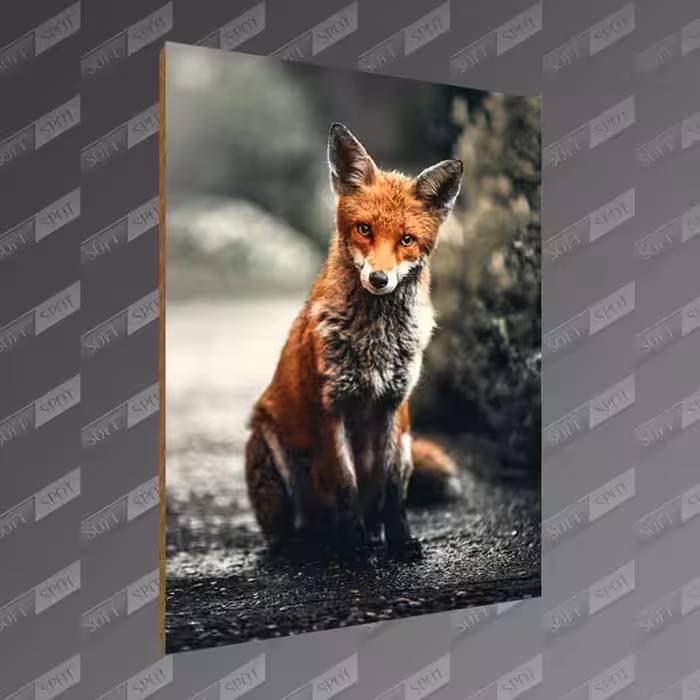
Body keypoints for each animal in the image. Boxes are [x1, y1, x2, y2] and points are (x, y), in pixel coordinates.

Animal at [245, 122, 464, 560]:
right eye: (364, 230)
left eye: (407, 239)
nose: (379, 279)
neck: (375, 340)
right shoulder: (331, 410)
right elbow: (345, 485)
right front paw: (359, 551)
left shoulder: (392, 408)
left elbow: (391, 491)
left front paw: (400, 542)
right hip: (268, 449)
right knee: (292, 529)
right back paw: (309, 545)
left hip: (409, 444)